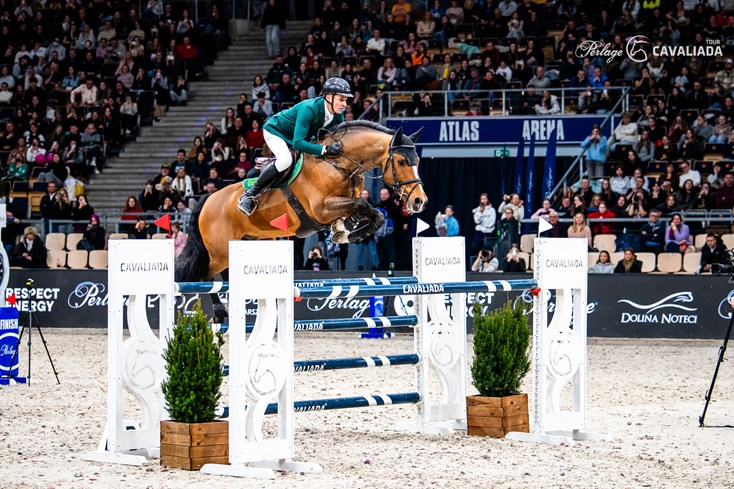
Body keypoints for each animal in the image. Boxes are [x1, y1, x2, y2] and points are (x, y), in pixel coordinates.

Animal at [176, 120, 427, 284]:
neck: (338, 164)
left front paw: (347, 231)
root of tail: (208, 198)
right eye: (402, 161)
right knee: (205, 277)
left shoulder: (347, 202)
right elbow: (362, 206)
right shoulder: (322, 209)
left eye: (418, 159)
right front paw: (345, 231)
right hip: (218, 255)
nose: (419, 201)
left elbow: (376, 213)